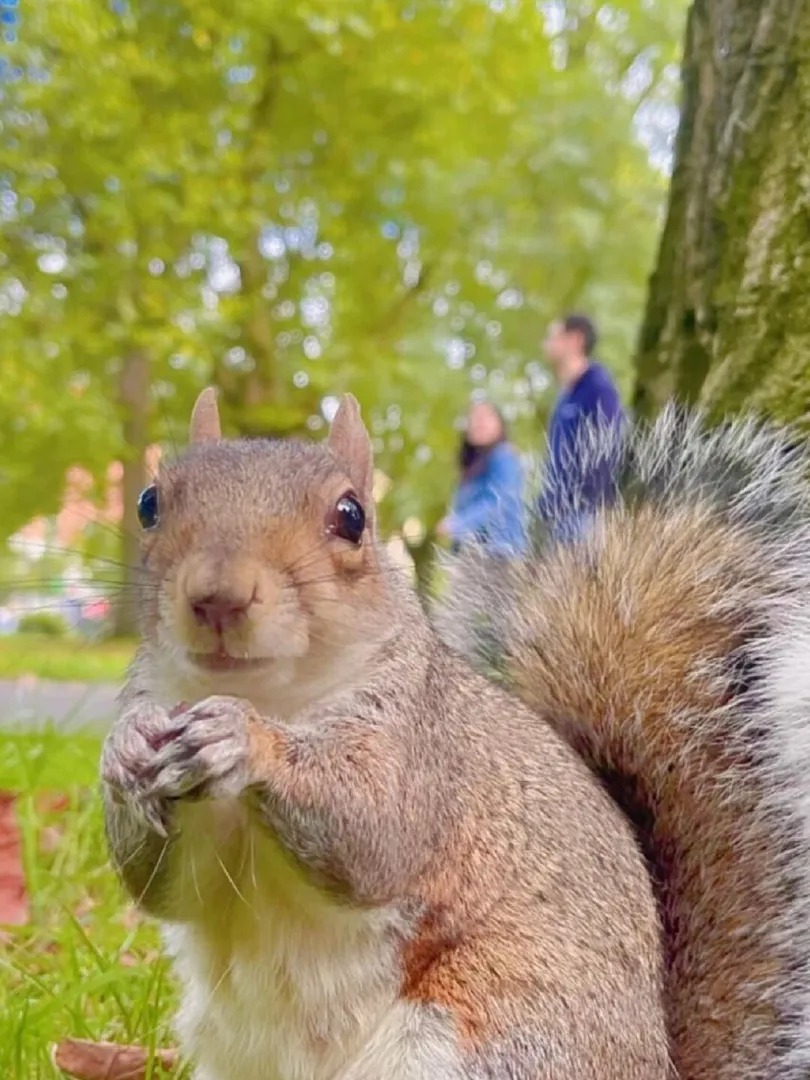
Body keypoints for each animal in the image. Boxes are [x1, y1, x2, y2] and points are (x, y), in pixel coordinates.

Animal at [103, 393, 810, 1080]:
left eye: (351, 516)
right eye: (149, 503)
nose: (217, 596)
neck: (272, 695)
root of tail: (659, 1063)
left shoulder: (421, 742)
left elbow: (375, 829)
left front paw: (245, 736)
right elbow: (164, 885)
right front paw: (124, 751)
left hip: (489, 1034)